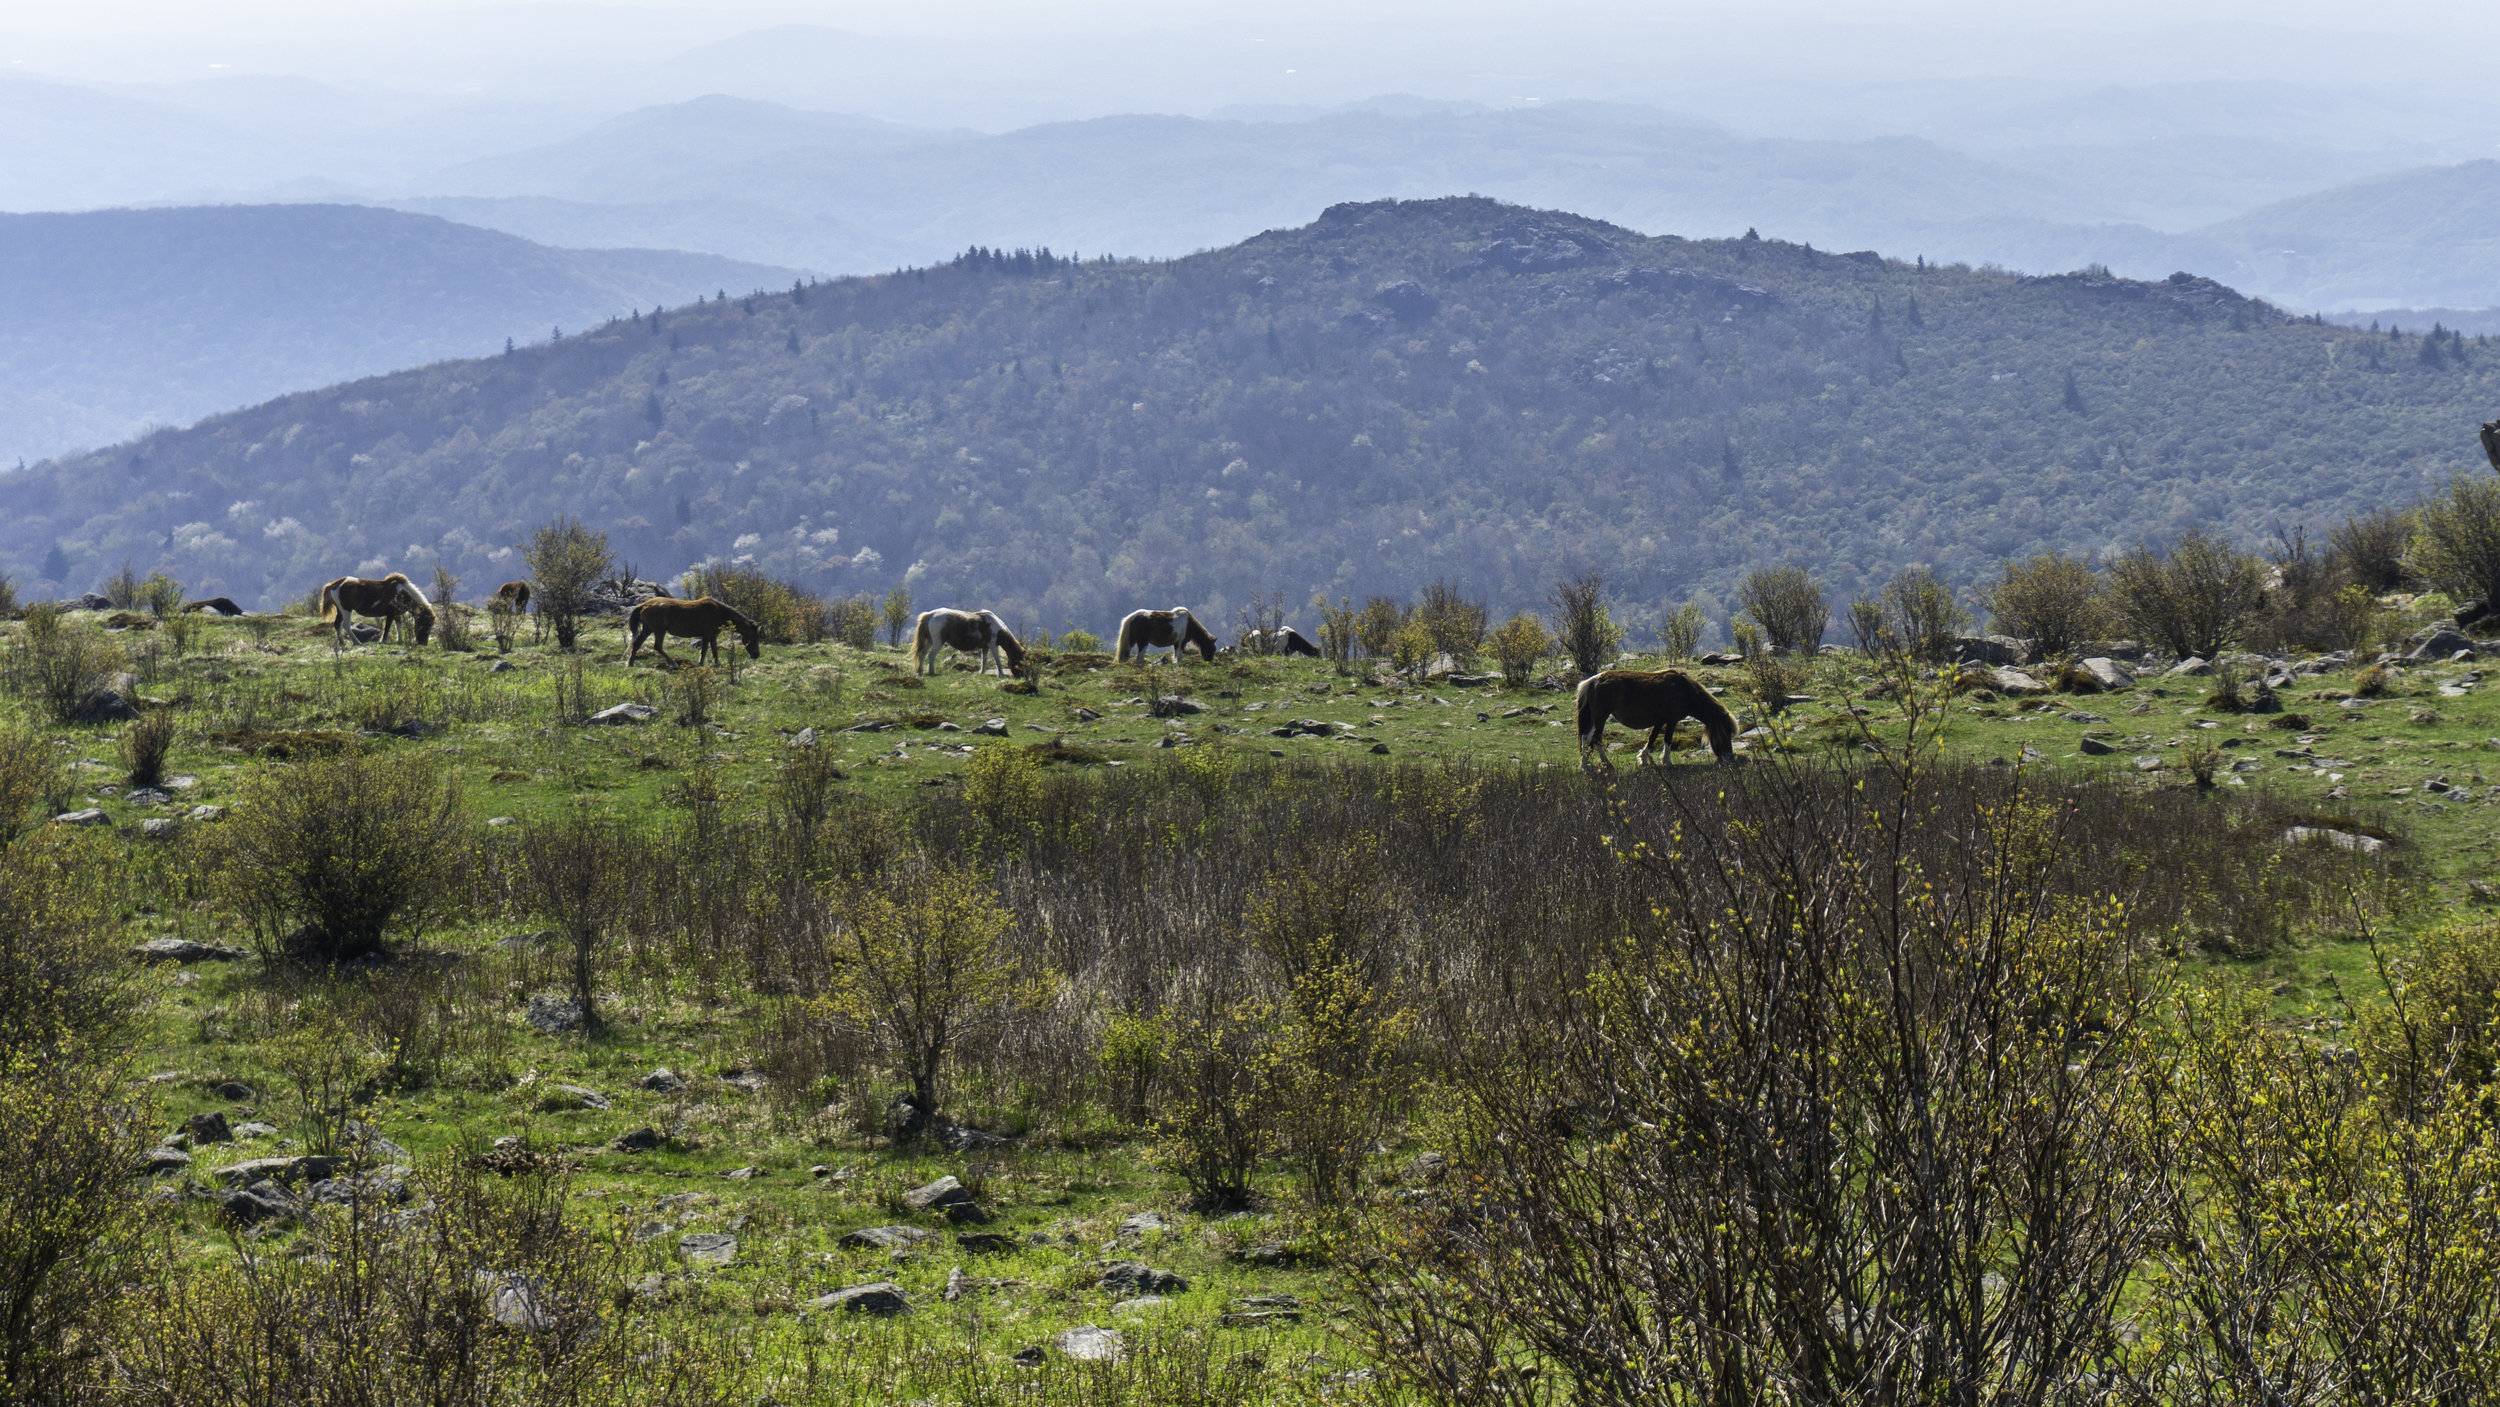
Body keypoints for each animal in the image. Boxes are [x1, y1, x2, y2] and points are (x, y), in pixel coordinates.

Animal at [625, 597, 760, 669]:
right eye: (754, 638)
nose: (756, 655)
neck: (719, 613)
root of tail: (643, 605)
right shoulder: (706, 635)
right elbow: (704, 650)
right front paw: (700, 664)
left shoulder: (713, 636)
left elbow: (714, 650)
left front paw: (717, 664)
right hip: (658, 630)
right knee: (657, 646)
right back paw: (674, 663)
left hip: (648, 629)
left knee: (637, 644)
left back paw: (630, 663)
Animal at [1570, 669, 1730, 769]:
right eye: (1725, 734)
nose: (1729, 758)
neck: (1685, 690)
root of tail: (1595, 680)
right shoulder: (1671, 721)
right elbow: (1667, 740)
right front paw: (1667, 762)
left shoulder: (1660, 721)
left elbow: (1652, 739)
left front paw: (1643, 759)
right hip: (1601, 717)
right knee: (1596, 739)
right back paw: (1606, 764)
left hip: (1595, 718)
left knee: (1586, 738)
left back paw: (1586, 765)